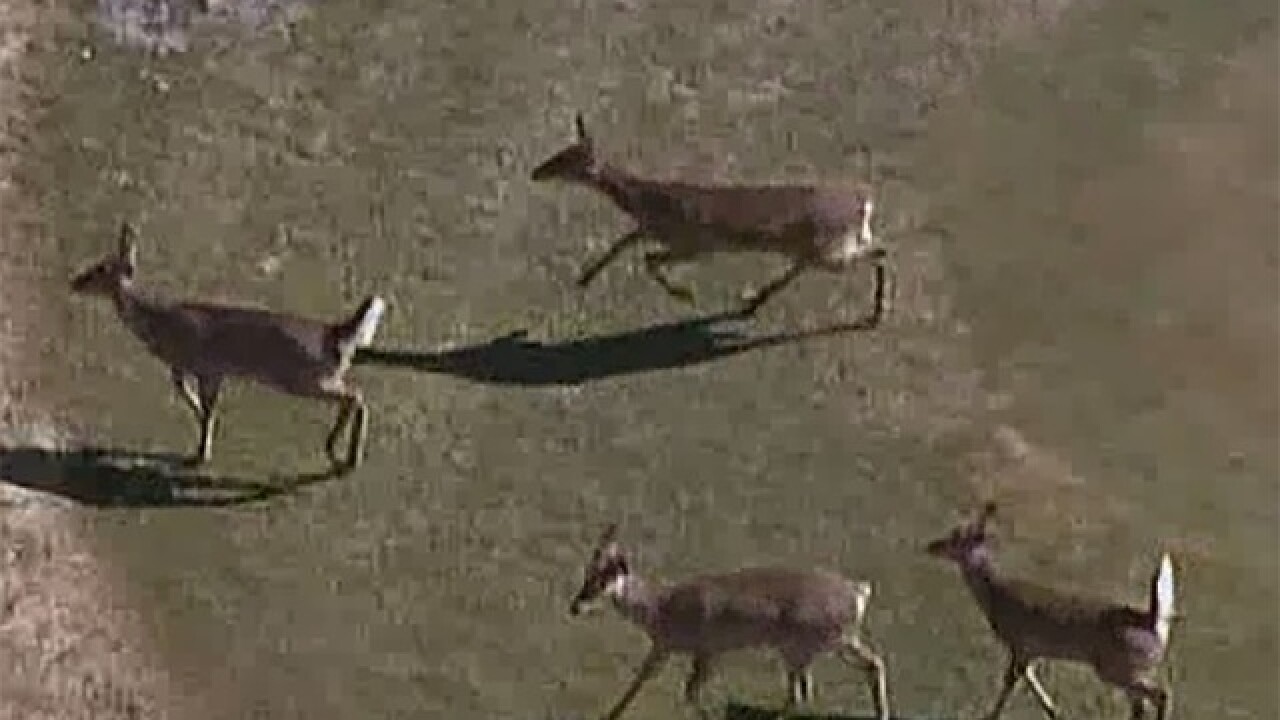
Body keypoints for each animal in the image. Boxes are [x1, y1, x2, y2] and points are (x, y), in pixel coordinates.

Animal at [69, 222, 387, 470]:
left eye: (100, 270)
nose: (74, 282)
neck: (161, 325)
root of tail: (337, 334)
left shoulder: (207, 368)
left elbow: (207, 408)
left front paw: (200, 454)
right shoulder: (190, 368)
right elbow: (191, 397)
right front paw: (202, 433)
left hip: (304, 377)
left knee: (356, 396)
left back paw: (348, 456)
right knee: (353, 397)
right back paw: (338, 449)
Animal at [530, 113, 889, 325]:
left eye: (565, 160)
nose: (535, 172)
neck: (645, 199)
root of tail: (865, 203)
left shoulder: (696, 243)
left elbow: (648, 259)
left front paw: (684, 294)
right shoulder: (656, 229)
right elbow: (624, 243)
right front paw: (584, 277)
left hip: (828, 250)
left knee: (880, 253)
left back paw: (877, 313)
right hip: (817, 248)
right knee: (809, 265)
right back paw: (752, 304)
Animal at [568, 523, 891, 720]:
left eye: (605, 579)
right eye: (587, 572)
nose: (575, 607)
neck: (663, 608)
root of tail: (858, 592)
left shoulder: (706, 651)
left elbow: (690, 693)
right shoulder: (664, 648)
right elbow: (642, 679)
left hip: (801, 650)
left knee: (802, 693)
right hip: (836, 644)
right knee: (870, 665)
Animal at [926, 503, 1177, 720]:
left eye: (957, 539)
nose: (932, 546)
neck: (995, 596)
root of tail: (1154, 623)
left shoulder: (1019, 643)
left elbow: (1011, 681)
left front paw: (991, 716)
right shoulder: (1029, 650)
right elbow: (1028, 678)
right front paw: (1054, 711)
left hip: (1118, 669)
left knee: (1161, 694)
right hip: (1124, 670)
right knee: (1141, 705)